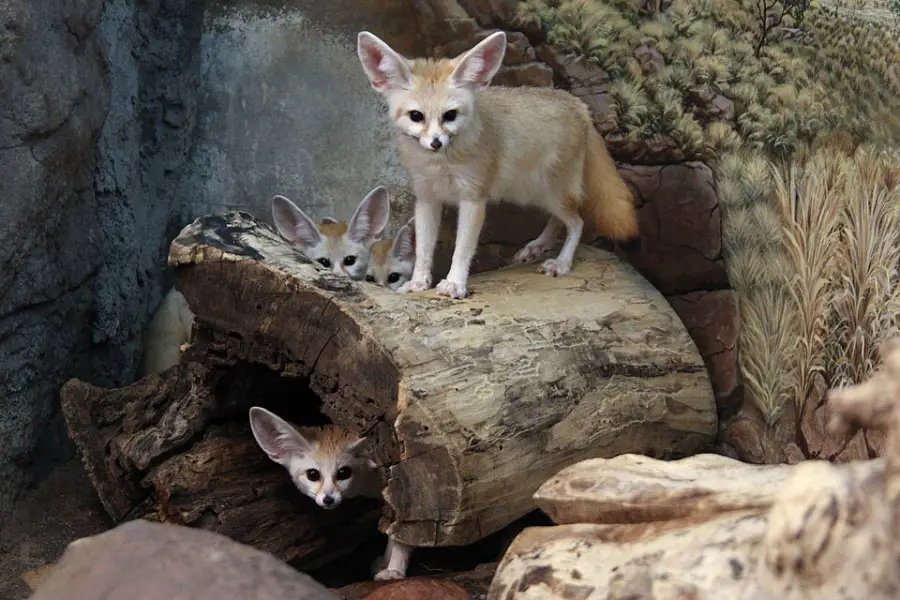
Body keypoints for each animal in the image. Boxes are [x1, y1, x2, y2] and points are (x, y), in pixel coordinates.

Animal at [247, 406, 414, 580]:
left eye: (344, 473)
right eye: (312, 474)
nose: (328, 499)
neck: (370, 480)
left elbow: (403, 534)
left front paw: (394, 569)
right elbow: (392, 528)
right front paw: (386, 561)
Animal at [356, 30, 639, 299]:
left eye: (450, 116)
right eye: (416, 116)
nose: (436, 143)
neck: (440, 165)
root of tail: (577, 103)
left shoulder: (473, 198)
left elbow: (462, 249)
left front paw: (455, 284)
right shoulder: (427, 198)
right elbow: (424, 249)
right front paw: (418, 282)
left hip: (551, 193)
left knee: (577, 222)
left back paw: (561, 263)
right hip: (536, 194)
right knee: (561, 220)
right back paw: (538, 245)